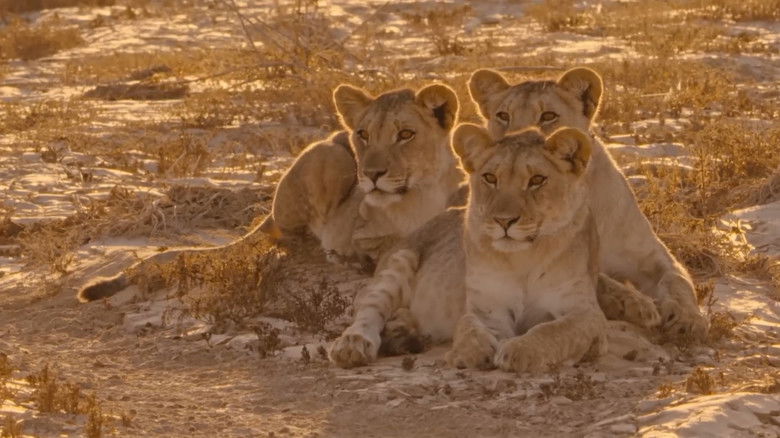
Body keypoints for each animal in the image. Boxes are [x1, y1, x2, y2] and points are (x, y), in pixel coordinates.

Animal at [77, 83, 464, 302]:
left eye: (406, 135)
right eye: (364, 135)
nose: (370, 175)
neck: (417, 195)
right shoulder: (361, 232)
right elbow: (382, 246)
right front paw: (361, 258)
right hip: (328, 154)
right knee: (291, 238)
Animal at [329, 125, 608, 371]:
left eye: (537, 180)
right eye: (490, 178)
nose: (504, 221)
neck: (523, 259)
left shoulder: (587, 313)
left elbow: (552, 331)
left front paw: (520, 350)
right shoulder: (486, 307)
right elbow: (468, 326)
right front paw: (471, 352)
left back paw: (405, 330)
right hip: (397, 264)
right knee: (368, 310)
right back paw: (353, 345)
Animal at [467, 67, 708, 342]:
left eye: (548, 116)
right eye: (503, 116)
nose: (516, 142)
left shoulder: (649, 253)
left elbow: (677, 280)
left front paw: (689, 319)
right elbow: (600, 279)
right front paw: (637, 304)